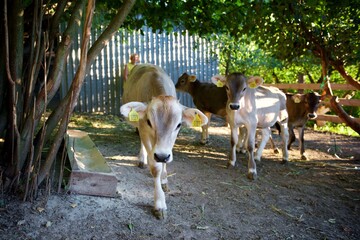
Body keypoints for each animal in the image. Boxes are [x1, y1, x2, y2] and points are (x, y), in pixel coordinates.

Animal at [120, 63, 208, 219]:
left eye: (178, 125)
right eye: (149, 121)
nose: (161, 155)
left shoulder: (168, 144)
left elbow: (164, 162)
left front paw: (164, 179)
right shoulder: (144, 129)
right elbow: (155, 167)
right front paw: (159, 204)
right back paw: (142, 159)